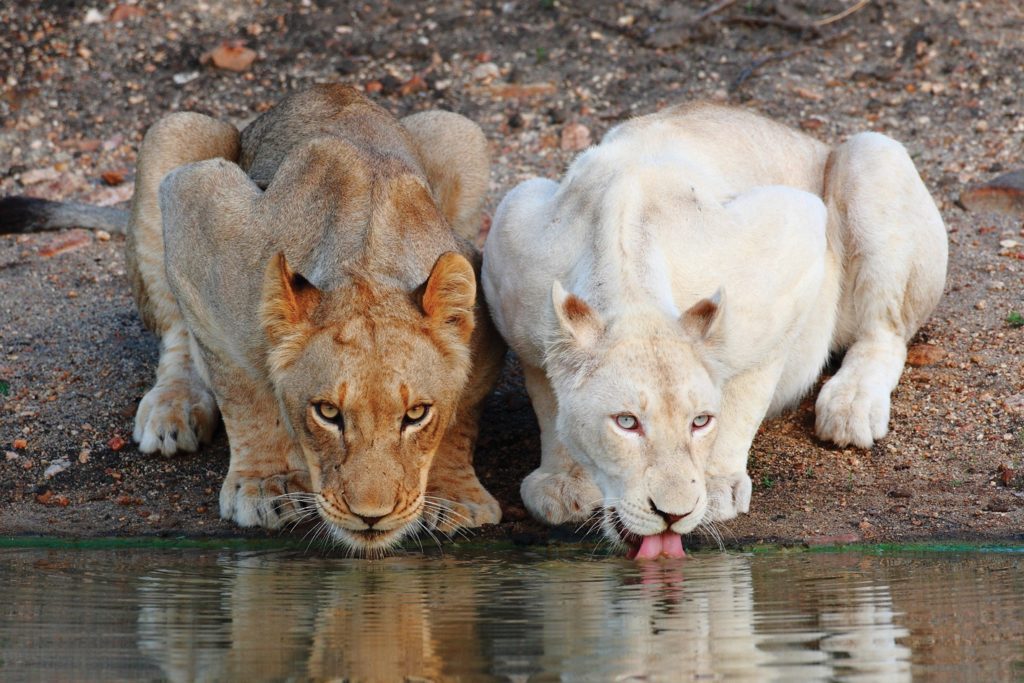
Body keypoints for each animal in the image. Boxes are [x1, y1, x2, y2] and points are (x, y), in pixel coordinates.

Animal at [483, 104, 946, 557]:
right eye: (627, 422)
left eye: (700, 421)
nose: (672, 514)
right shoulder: (511, 242)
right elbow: (547, 396)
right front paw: (563, 483)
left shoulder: (793, 243)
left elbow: (746, 394)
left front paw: (716, 485)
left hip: (872, 156)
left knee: (884, 333)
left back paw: (851, 408)